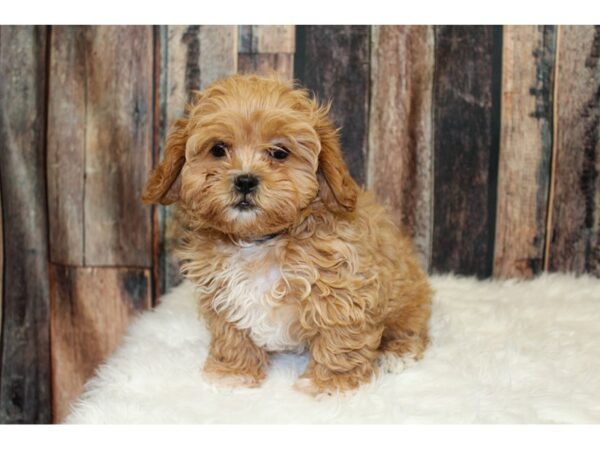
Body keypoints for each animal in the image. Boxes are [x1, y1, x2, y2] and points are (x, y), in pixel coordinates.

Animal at [141, 74, 432, 394]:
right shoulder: (224, 296)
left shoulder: (345, 291)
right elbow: (232, 335)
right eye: (218, 149)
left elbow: (340, 339)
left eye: (279, 153)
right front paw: (233, 373)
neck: (260, 241)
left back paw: (397, 353)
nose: (245, 180)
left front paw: (331, 385)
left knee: (412, 328)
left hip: (408, 297)